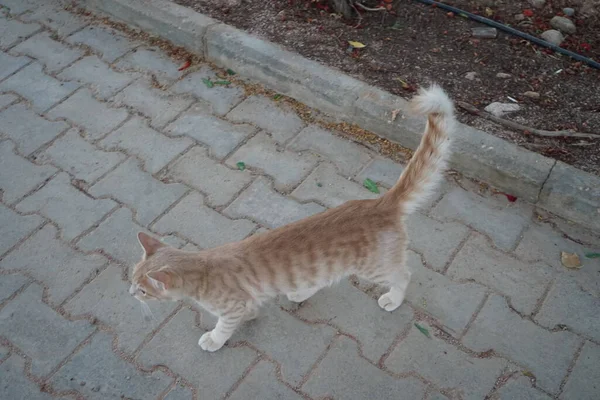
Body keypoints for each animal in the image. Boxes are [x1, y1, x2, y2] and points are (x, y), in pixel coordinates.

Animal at [127, 83, 454, 350]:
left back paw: (393, 299)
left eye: (143, 290)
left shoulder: (232, 306)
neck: (202, 269)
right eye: (131, 279)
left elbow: (224, 326)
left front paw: (214, 339)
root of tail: (380, 202)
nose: (130, 293)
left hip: (375, 267)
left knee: (403, 275)